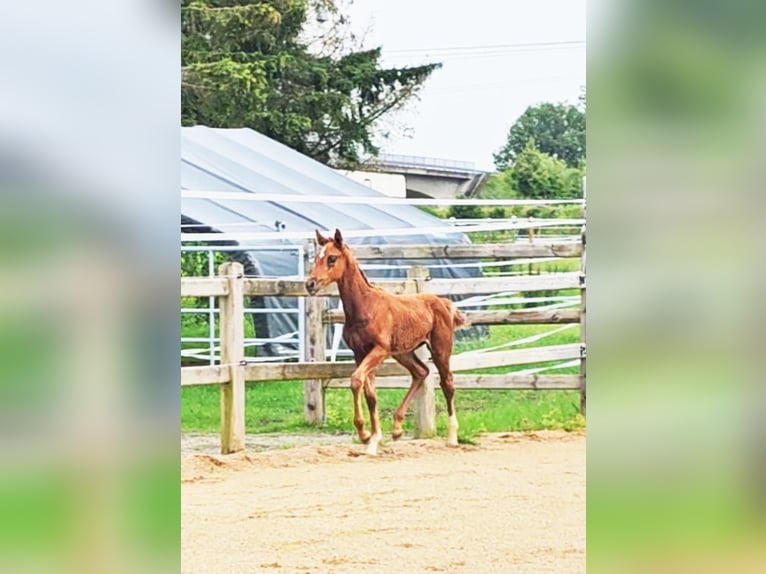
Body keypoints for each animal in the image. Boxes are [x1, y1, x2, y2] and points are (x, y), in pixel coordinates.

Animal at [308, 230, 468, 460]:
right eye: (316, 258)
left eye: (331, 258)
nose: (310, 284)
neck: (365, 307)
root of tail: (444, 303)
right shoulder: (360, 353)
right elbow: (370, 395)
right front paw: (373, 440)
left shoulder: (379, 350)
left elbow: (356, 380)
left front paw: (365, 434)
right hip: (404, 353)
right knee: (421, 372)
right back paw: (397, 428)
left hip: (440, 349)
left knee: (447, 383)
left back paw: (452, 438)